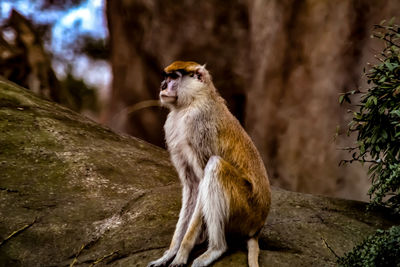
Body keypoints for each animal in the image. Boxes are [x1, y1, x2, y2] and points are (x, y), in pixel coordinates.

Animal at [148, 61, 272, 267]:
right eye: (166, 77)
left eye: (174, 77)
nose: (163, 86)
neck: (192, 101)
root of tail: (258, 227)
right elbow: (192, 187)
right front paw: (169, 253)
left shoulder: (198, 125)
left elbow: (201, 181)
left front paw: (181, 255)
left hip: (246, 210)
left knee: (215, 166)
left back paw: (216, 249)